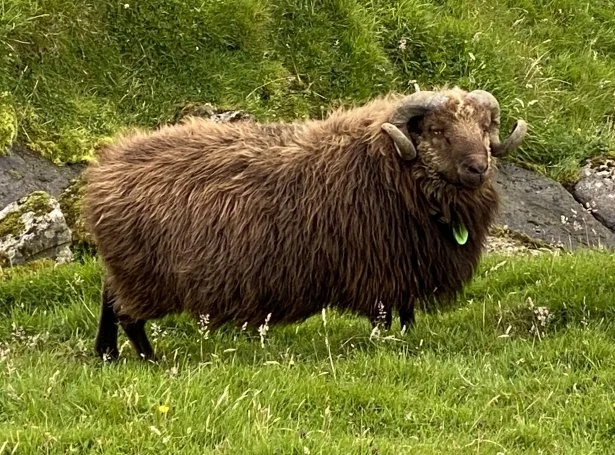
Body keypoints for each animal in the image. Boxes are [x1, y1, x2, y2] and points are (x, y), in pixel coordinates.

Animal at [83, 87, 528, 362]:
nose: (478, 168)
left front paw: (407, 339)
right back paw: (149, 359)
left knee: (109, 300)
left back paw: (107, 353)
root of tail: (102, 171)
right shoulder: (380, 269)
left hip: (126, 267)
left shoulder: (404, 268)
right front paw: (386, 345)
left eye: (484, 127)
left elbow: (406, 315)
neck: (388, 165)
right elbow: (385, 317)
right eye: (437, 129)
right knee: (128, 317)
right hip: (144, 274)